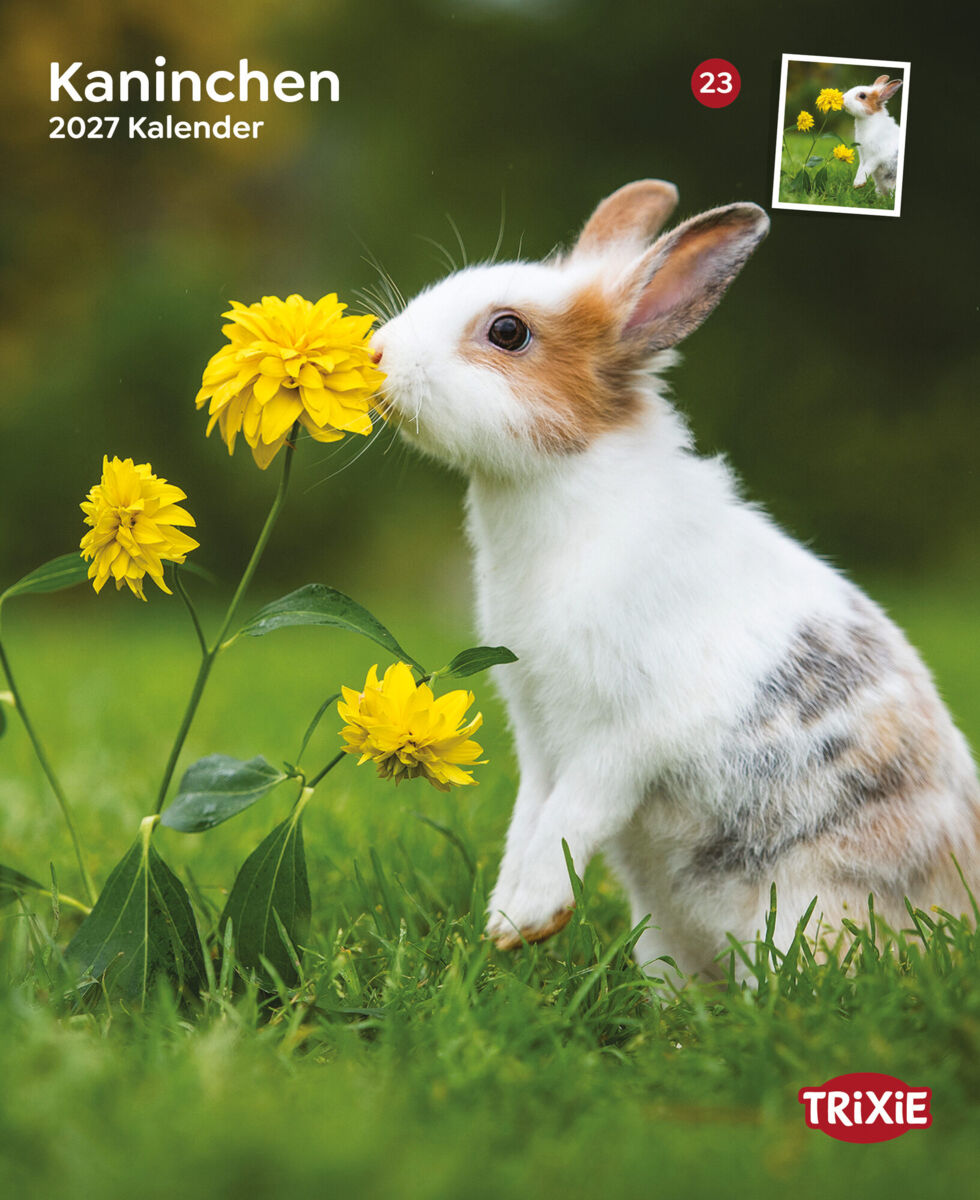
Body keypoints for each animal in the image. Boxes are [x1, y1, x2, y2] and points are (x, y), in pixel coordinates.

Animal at [371, 180, 979, 978]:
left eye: (507, 332)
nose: (376, 354)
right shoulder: (538, 735)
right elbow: (530, 818)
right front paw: (503, 921)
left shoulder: (620, 735)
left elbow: (571, 816)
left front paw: (523, 919)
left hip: (809, 906)